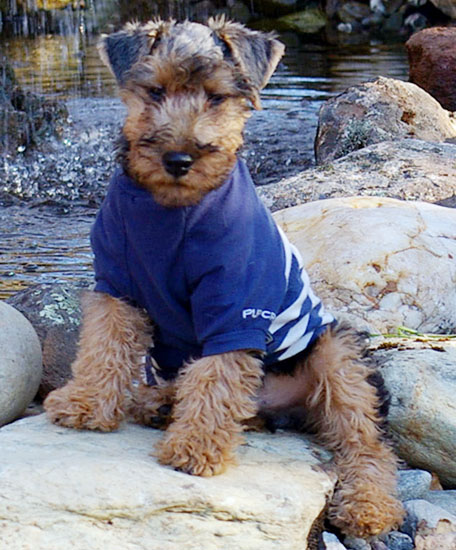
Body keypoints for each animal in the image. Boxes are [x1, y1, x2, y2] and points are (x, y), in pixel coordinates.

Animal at [44, 17, 404, 538]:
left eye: (215, 97)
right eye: (155, 91)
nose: (178, 159)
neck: (172, 210)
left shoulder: (234, 298)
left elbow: (217, 374)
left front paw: (193, 449)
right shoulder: (116, 285)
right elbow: (103, 347)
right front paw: (87, 404)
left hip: (337, 355)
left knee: (366, 442)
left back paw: (368, 506)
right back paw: (160, 402)